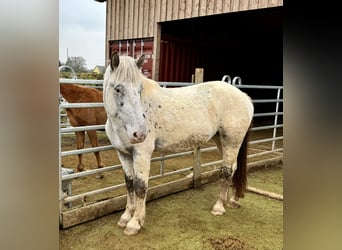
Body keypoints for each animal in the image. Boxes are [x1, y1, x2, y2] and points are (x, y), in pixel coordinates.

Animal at [103, 51, 252, 235]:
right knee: (234, 168)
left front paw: (135, 223)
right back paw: (233, 200)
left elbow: (140, 187)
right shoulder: (123, 154)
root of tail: (244, 97)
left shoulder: (141, 155)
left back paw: (218, 207)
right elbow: (129, 184)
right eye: (118, 88)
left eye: (140, 90)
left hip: (232, 141)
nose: (140, 134)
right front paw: (125, 217)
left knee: (226, 171)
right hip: (222, 141)